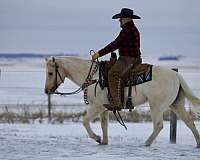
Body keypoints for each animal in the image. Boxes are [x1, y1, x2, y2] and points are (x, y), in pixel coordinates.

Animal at [44, 56, 200, 148]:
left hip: (156, 106)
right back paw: (198, 143)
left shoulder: (96, 106)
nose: (47, 90)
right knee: (189, 122)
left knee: (158, 125)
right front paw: (104, 141)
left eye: (50, 73)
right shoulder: (104, 108)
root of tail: (176, 75)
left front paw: (97, 138)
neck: (94, 77)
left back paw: (146, 143)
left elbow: (85, 121)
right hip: (176, 104)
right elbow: (104, 124)